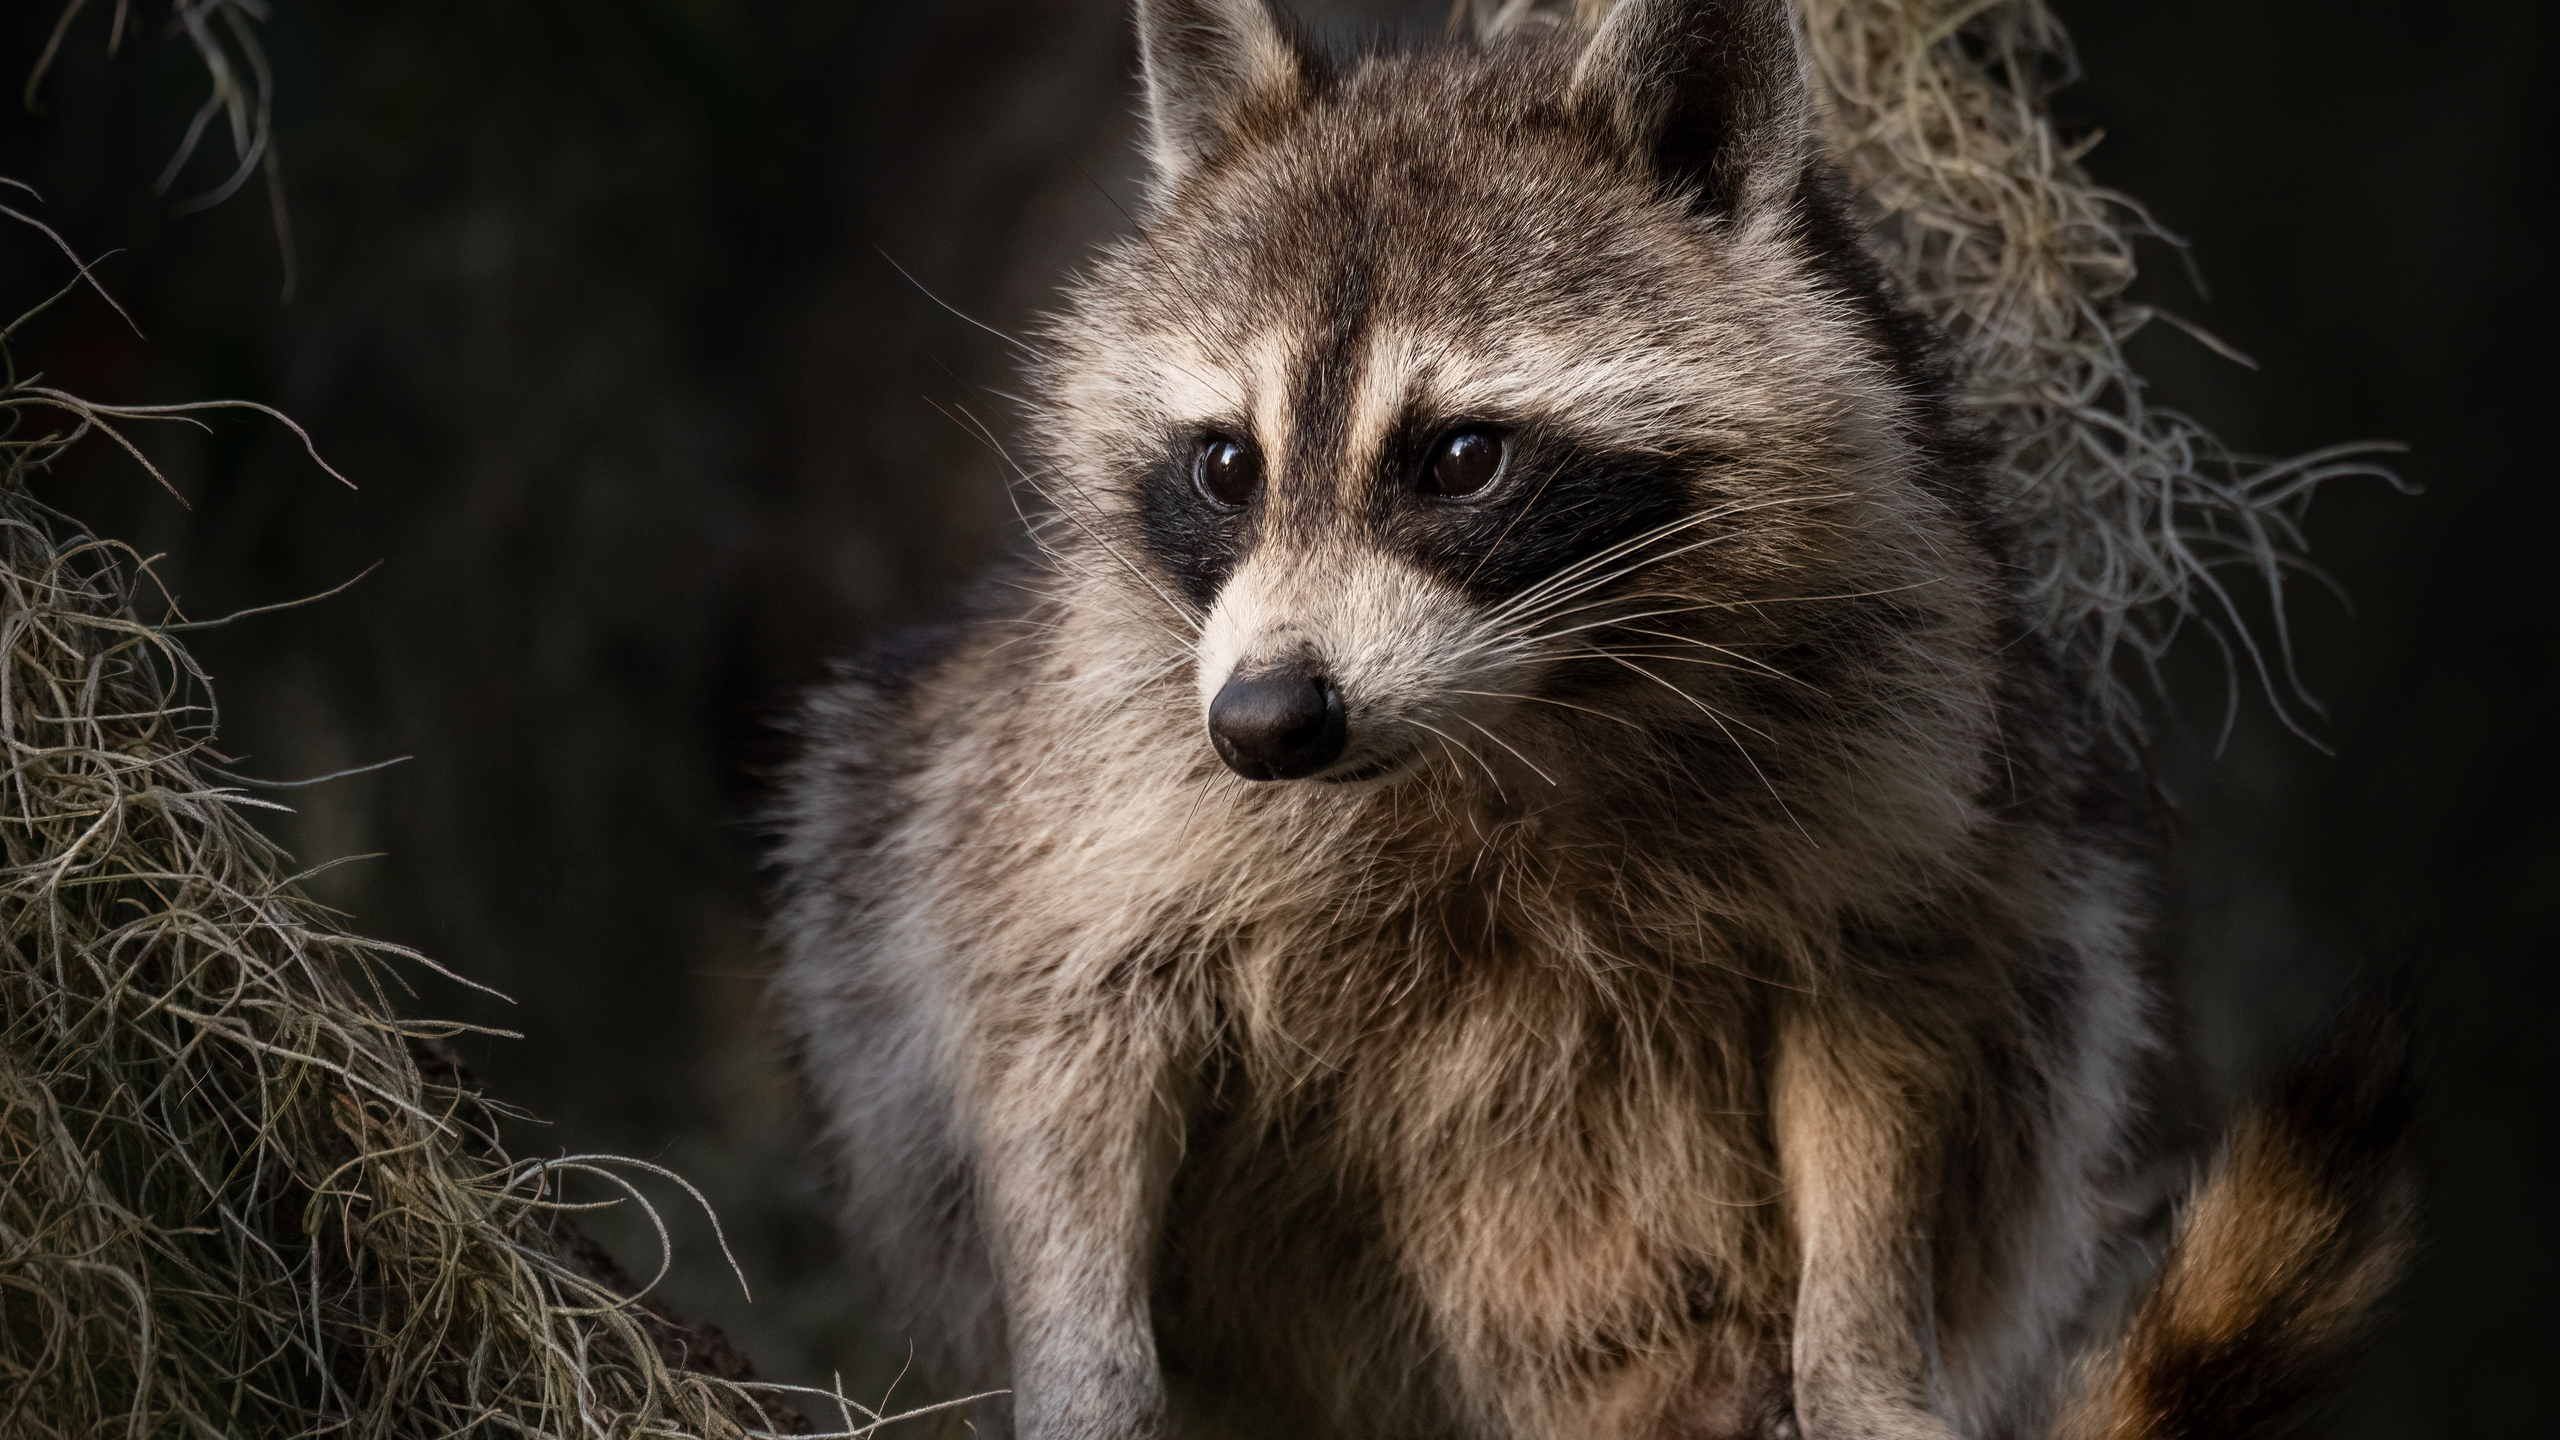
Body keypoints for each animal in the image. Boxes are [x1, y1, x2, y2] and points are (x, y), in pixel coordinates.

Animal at [771, 3, 2412, 1438]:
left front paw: (1864, 1355)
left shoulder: (1902, 725)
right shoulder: (1095, 772)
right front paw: (1084, 1373)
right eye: (1226, 465)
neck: (1501, 719)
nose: (1267, 722)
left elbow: (1890, 1027)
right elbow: (1053, 1030)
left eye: (1461, 457)